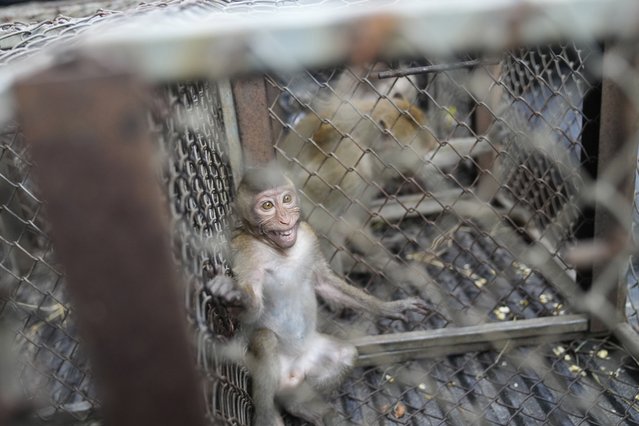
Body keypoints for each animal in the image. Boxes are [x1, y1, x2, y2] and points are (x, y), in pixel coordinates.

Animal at [210, 166, 430, 426]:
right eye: (267, 206)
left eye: (286, 199)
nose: (285, 219)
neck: (281, 250)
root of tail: (291, 373)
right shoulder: (246, 250)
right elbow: (253, 309)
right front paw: (233, 295)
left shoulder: (307, 235)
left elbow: (325, 283)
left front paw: (390, 308)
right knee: (265, 340)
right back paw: (268, 416)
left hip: (310, 359)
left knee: (346, 355)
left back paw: (295, 403)